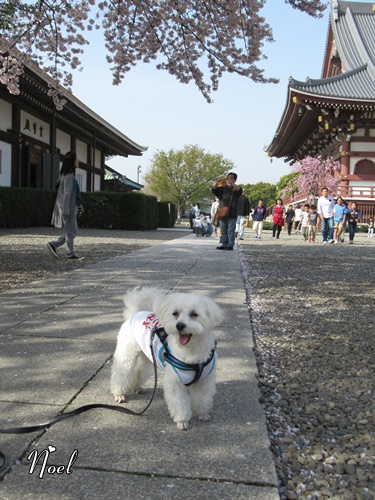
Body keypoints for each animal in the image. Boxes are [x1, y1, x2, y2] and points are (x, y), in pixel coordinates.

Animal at [111, 288, 223, 428]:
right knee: (120, 374)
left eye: (194, 314)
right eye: (175, 313)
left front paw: (202, 414)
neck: (191, 352)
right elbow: (180, 404)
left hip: (147, 356)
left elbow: (202, 399)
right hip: (126, 355)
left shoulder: (205, 381)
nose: (179, 325)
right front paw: (182, 420)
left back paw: (136, 386)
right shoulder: (175, 382)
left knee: (140, 371)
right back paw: (119, 394)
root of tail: (135, 313)